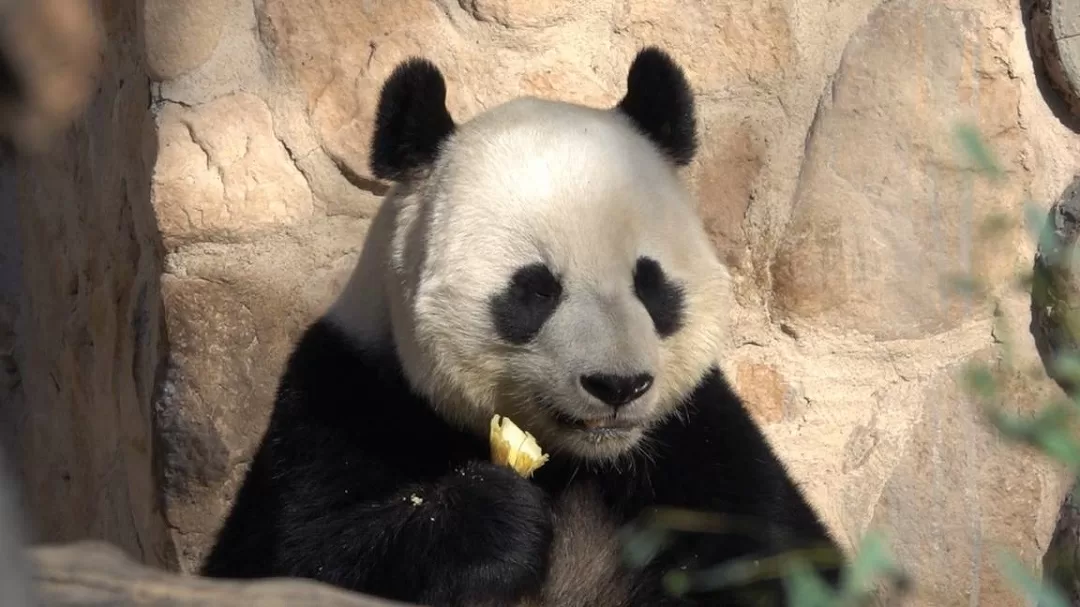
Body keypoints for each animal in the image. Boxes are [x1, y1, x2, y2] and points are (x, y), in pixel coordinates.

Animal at [201, 47, 844, 606]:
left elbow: (786, 558)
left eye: (651, 284)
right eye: (536, 290)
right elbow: (287, 557)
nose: (618, 386)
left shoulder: (702, 442)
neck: (577, 463)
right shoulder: (344, 394)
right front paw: (494, 520)